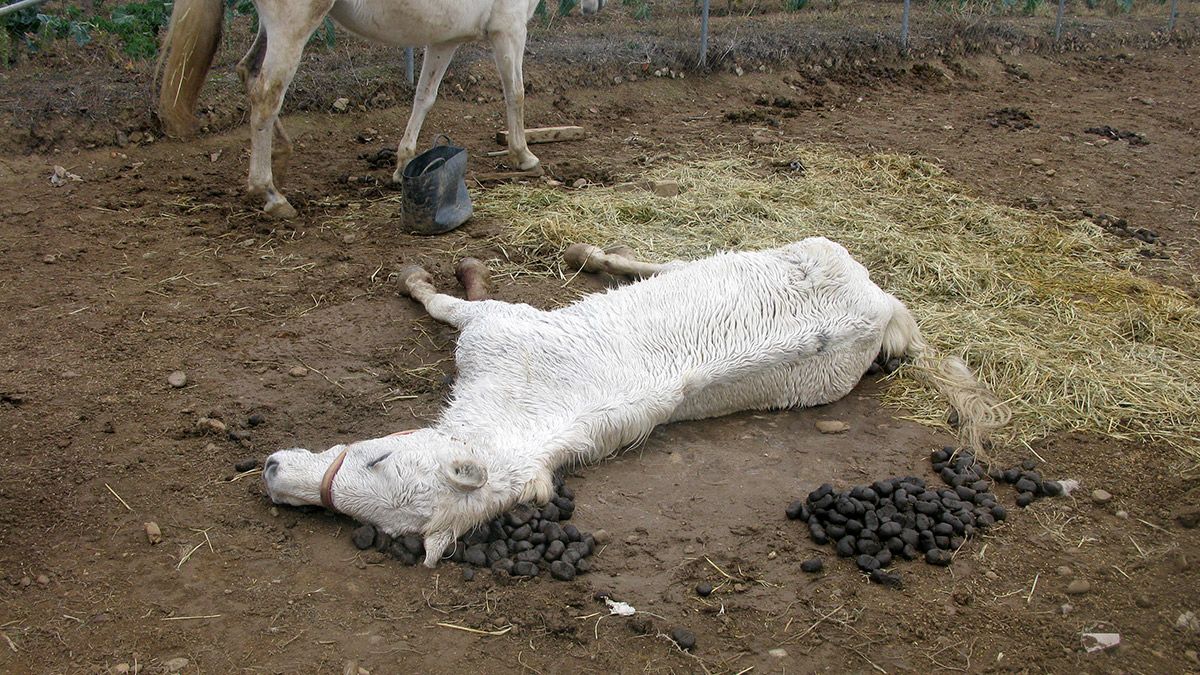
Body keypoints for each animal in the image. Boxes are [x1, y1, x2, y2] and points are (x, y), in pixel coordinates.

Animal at [159, 0, 604, 218]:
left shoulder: (444, 40)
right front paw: (523, 155)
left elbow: (424, 96)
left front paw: (401, 164)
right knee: (268, 91)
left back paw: (280, 163)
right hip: (294, 24)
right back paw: (269, 193)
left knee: (249, 74)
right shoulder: (508, 31)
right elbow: (516, 93)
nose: (590, 9)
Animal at [265, 239, 1012, 564]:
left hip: (796, 245)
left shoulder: (498, 326)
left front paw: (424, 274)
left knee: (674, 262)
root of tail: (884, 307)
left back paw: (589, 252)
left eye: (376, 460)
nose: (271, 472)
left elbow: (446, 301)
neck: (518, 415)